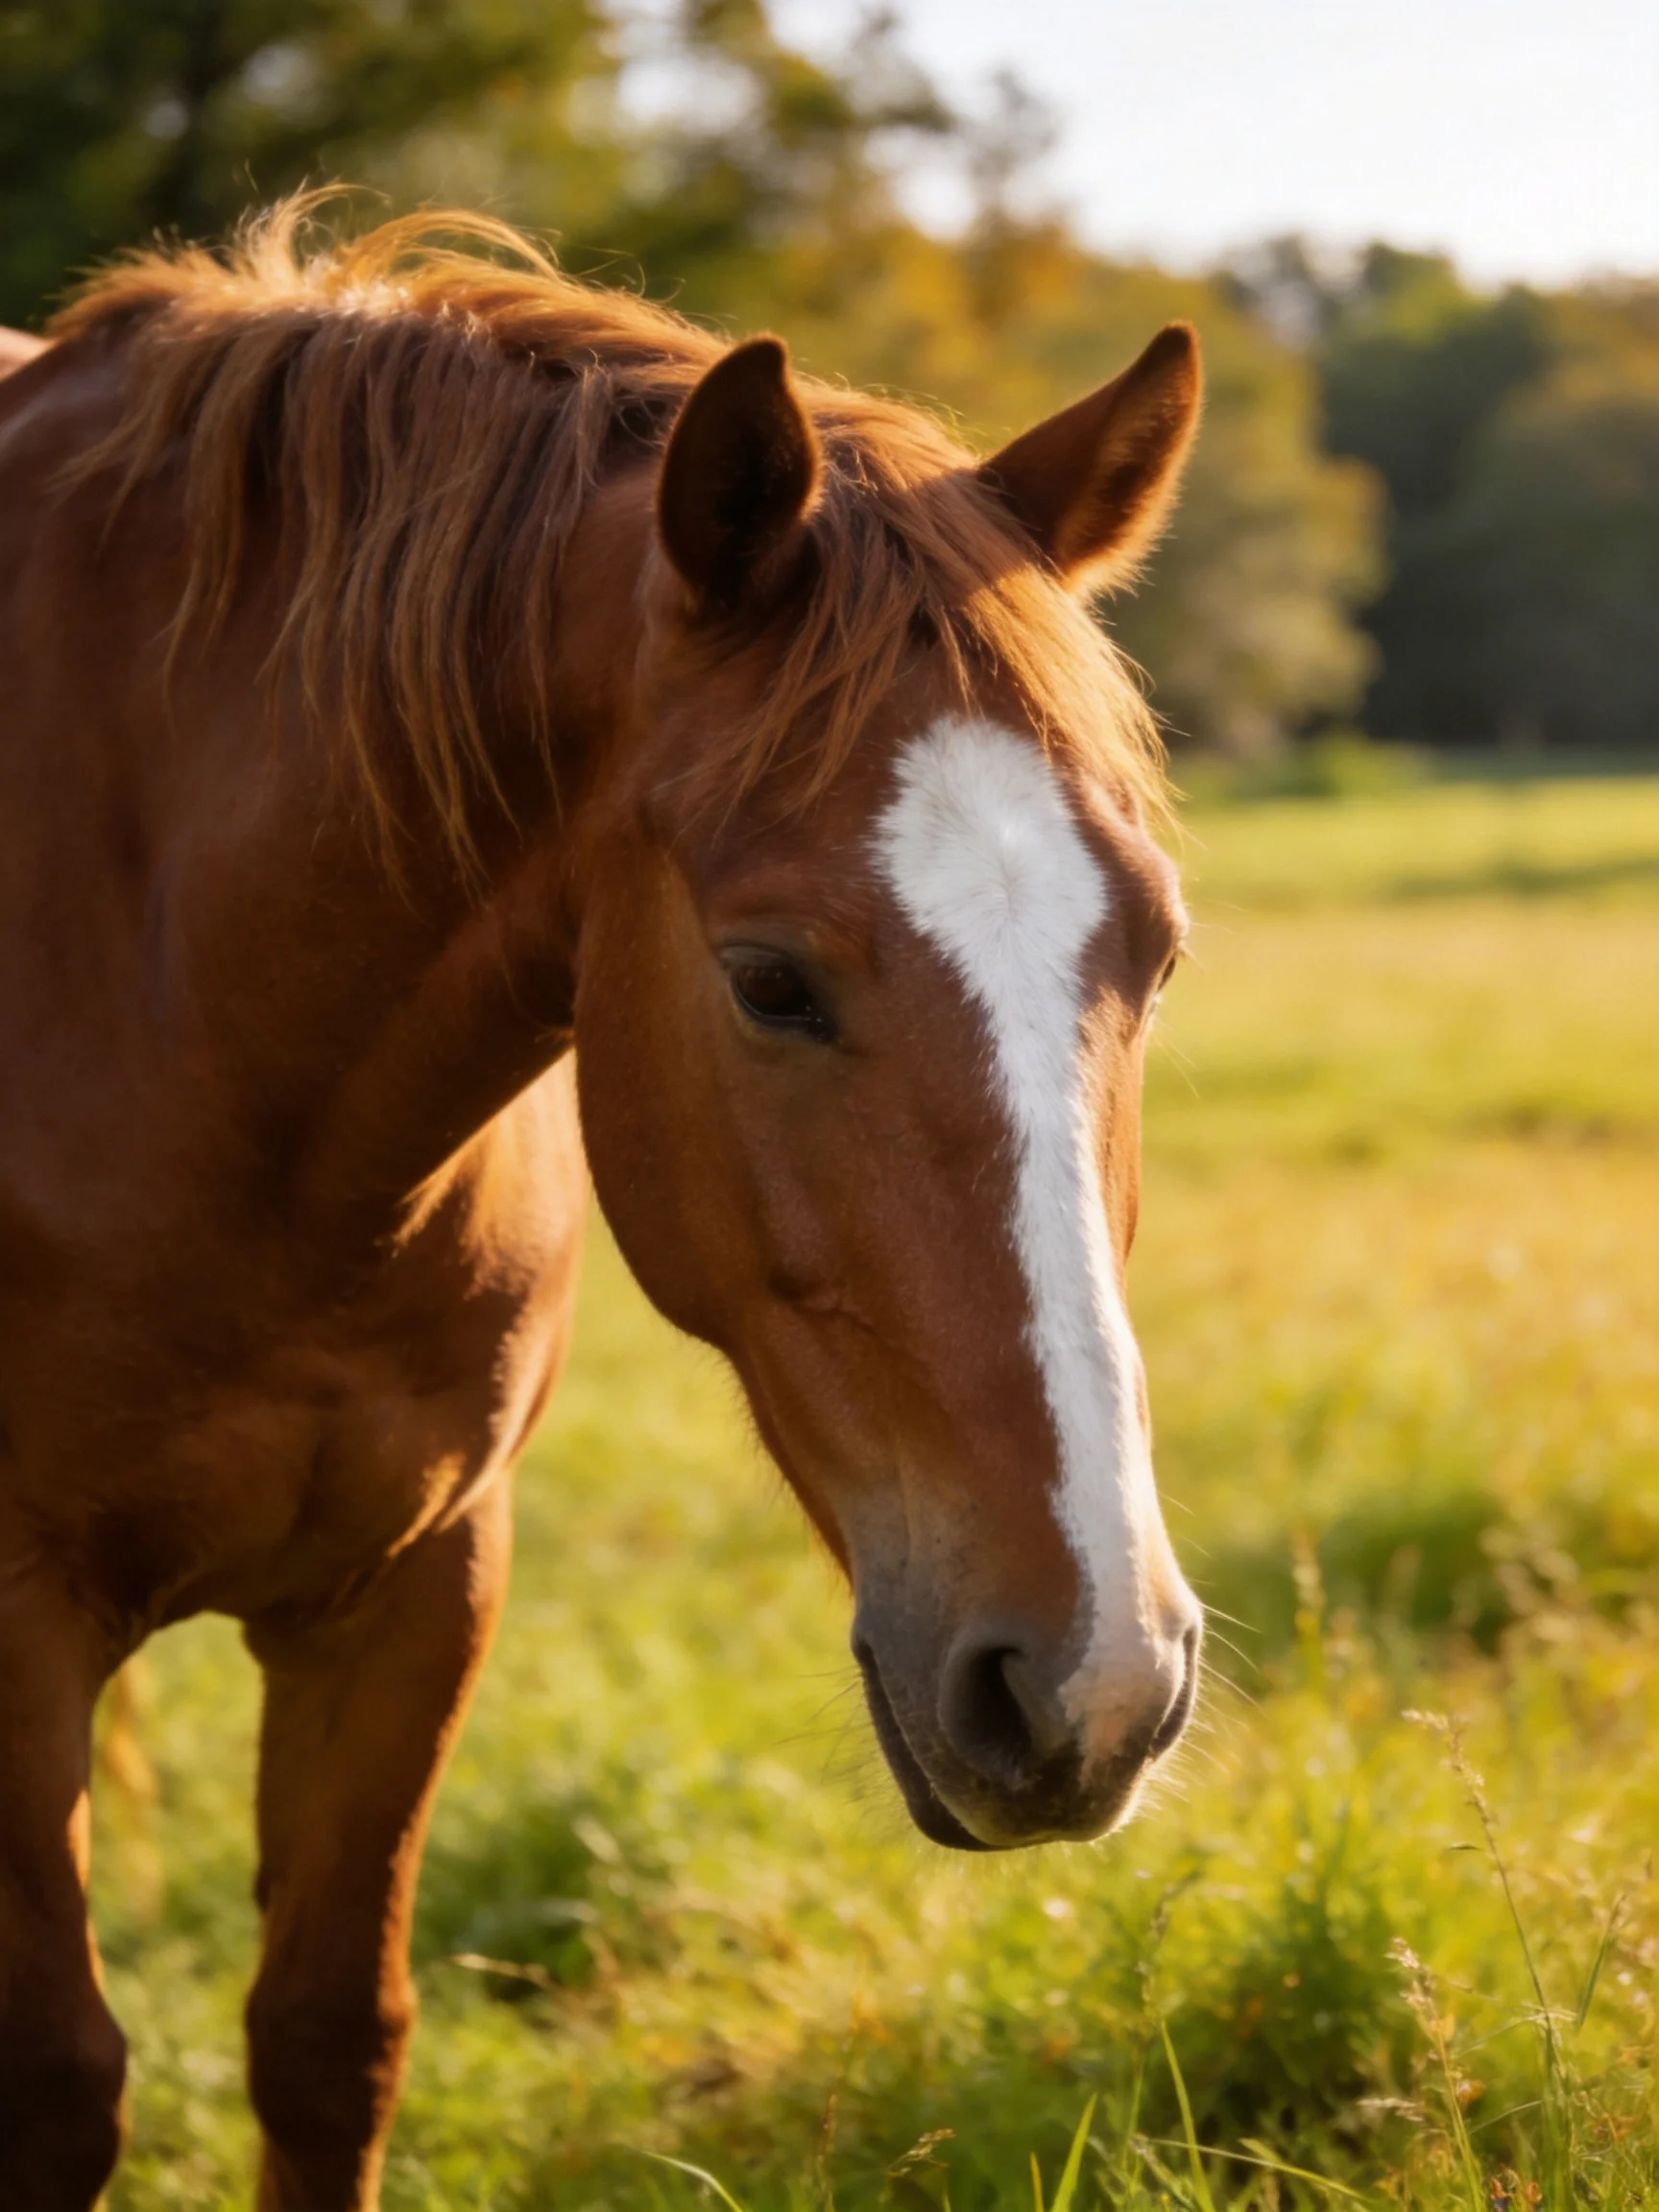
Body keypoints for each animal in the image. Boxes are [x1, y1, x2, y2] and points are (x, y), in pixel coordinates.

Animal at [0, 200, 1203, 2211]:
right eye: (768, 977)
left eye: (1154, 951)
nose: (1094, 1681)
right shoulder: (13, 1623)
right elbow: (59, 2082)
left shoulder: (414, 1582)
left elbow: (327, 2034)